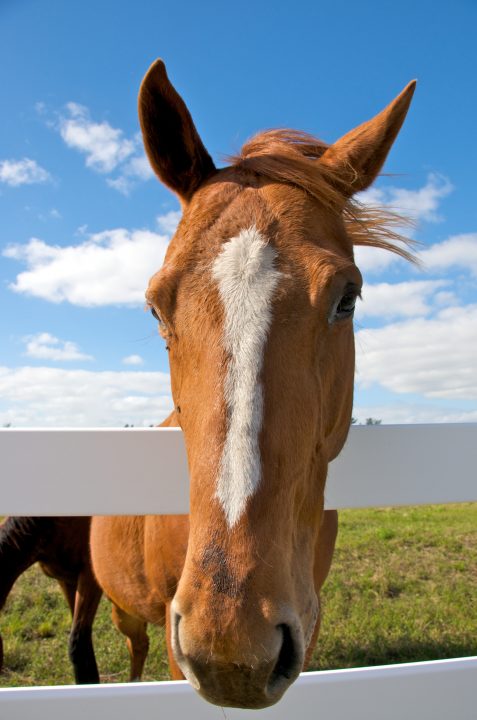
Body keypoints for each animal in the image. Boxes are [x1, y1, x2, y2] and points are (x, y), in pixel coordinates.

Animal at [91, 59, 415, 709]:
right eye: (155, 306)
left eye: (347, 297)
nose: (231, 647)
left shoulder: (307, 623)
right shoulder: (178, 642)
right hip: (125, 611)